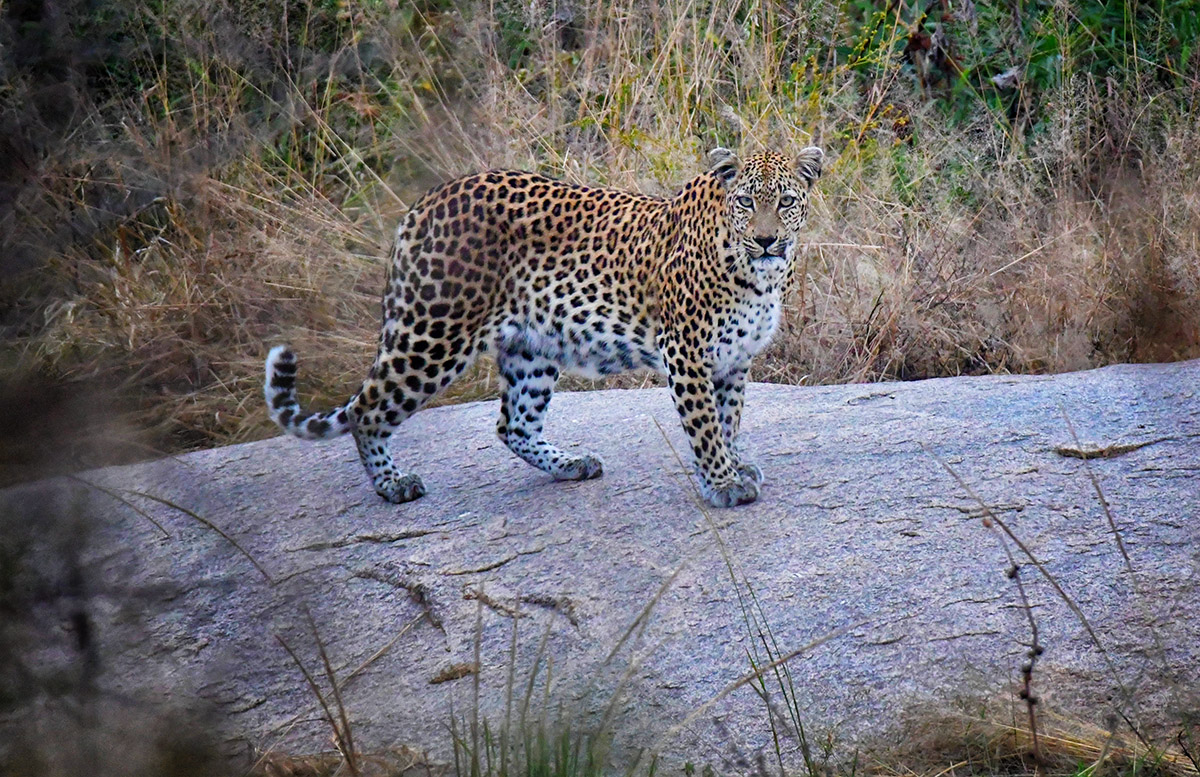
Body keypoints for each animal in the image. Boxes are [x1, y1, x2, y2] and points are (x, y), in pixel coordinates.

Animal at [264, 145, 824, 508]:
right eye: (747, 202)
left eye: (787, 201)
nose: (768, 240)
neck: (760, 275)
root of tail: (424, 203)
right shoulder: (686, 351)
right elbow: (705, 424)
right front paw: (724, 483)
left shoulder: (734, 359)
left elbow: (728, 419)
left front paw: (734, 465)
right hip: (434, 332)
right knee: (368, 410)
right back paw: (392, 485)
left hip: (531, 348)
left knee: (512, 424)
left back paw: (571, 465)